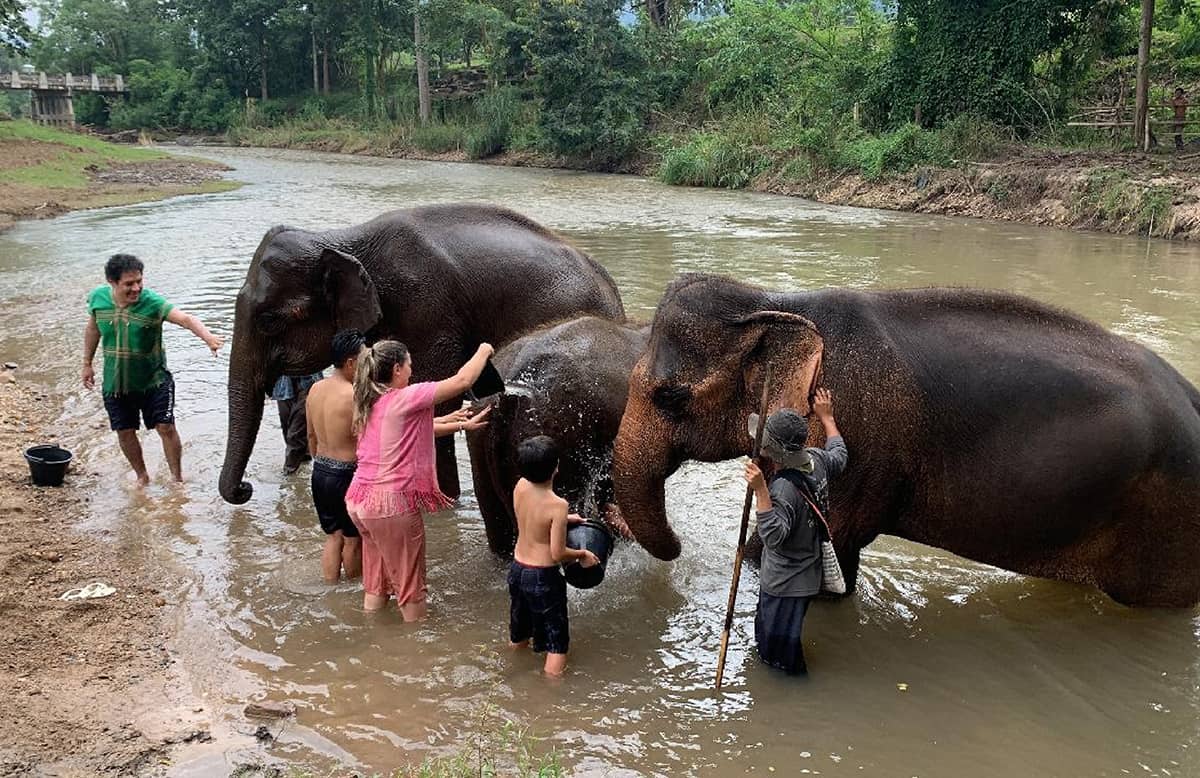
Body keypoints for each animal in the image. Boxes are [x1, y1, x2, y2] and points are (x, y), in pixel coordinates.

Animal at [222, 204, 628, 504]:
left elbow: (434, 398)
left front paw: (442, 502)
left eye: (269, 321)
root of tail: (613, 291)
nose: (245, 489)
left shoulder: (428, 311)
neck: (342, 239)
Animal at [614, 273, 1200, 607]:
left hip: (1168, 528)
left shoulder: (856, 447)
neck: (775, 303)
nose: (679, 546)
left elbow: (796, 547)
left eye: (669, 397)